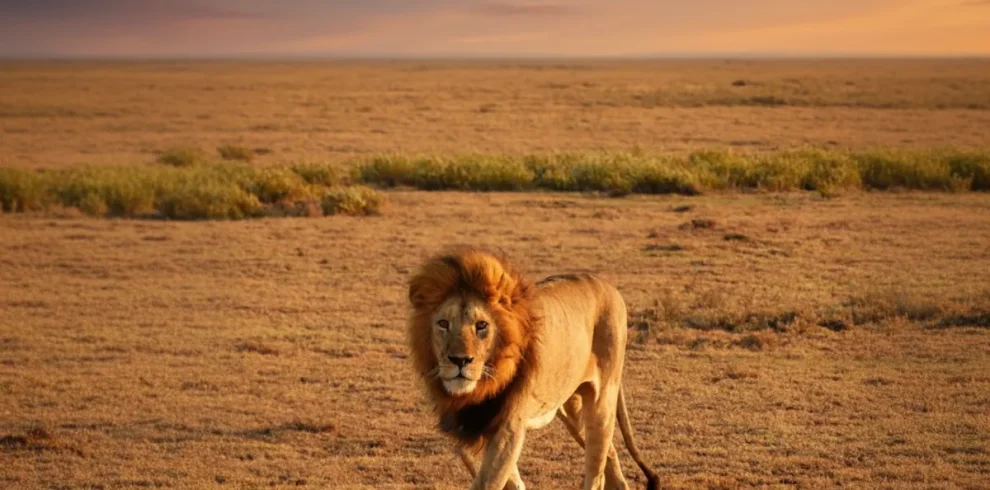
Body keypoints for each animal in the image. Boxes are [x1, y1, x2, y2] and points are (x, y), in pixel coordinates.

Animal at [406, 248, 661, 490]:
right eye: (443, 324)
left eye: (481, 325)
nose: (460, 360)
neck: (479, 389)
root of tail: (609, 287)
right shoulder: (467, 429)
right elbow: (508, 480)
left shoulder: (508, 427)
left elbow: (488, 482)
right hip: (572, 408)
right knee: (610, 455)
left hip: (602, 401)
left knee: (596, 472)